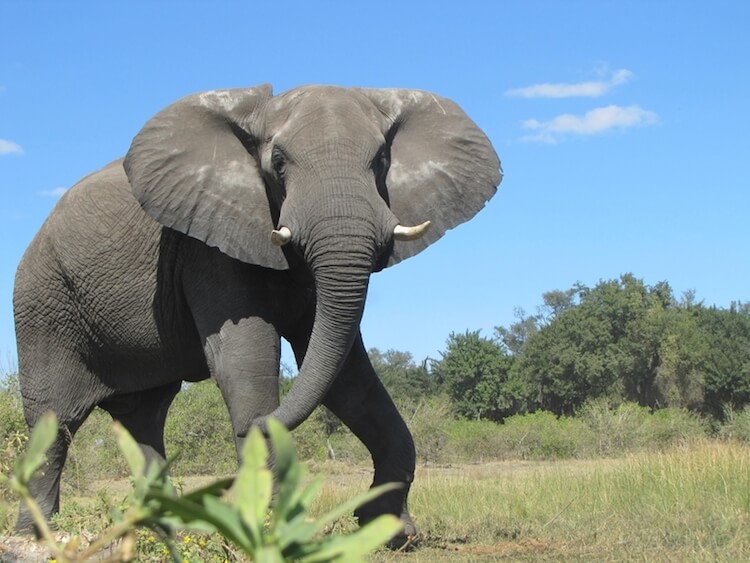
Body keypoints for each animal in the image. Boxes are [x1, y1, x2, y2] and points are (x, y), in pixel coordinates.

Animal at [12, 84, 501, 543]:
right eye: (278, 162)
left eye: (382, 158)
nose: (257, 427)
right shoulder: (206, 247)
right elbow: (245, 357)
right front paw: (268, 532)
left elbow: (346, 376)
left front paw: (393, 533)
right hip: (43, 306)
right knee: (53, 424)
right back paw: (37, 537)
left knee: (143, 422)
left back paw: (163, 530)